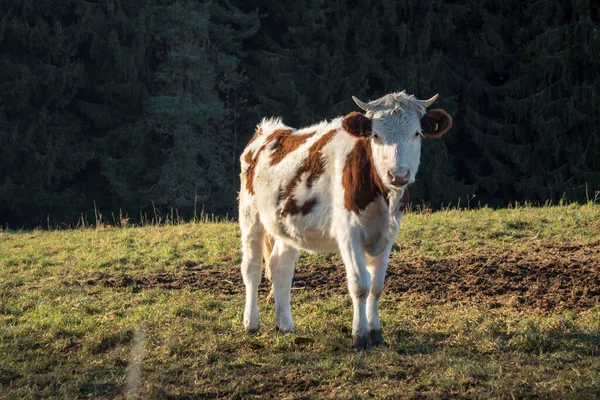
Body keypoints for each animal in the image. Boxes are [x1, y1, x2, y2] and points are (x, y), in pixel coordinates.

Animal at [238, 91, 450, 350]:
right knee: (252, 268)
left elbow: (376, 287)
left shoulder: (388, 235)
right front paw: (359, 336)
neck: (382, 197)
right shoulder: (349, 233)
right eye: (375, 135)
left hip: (286, 225)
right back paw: (251, 323)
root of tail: (270, 129)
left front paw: (376, 333)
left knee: (281, 266)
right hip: (250, 216)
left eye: (417, 133)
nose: (398, 174)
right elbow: (360, 285)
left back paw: (285, 324)